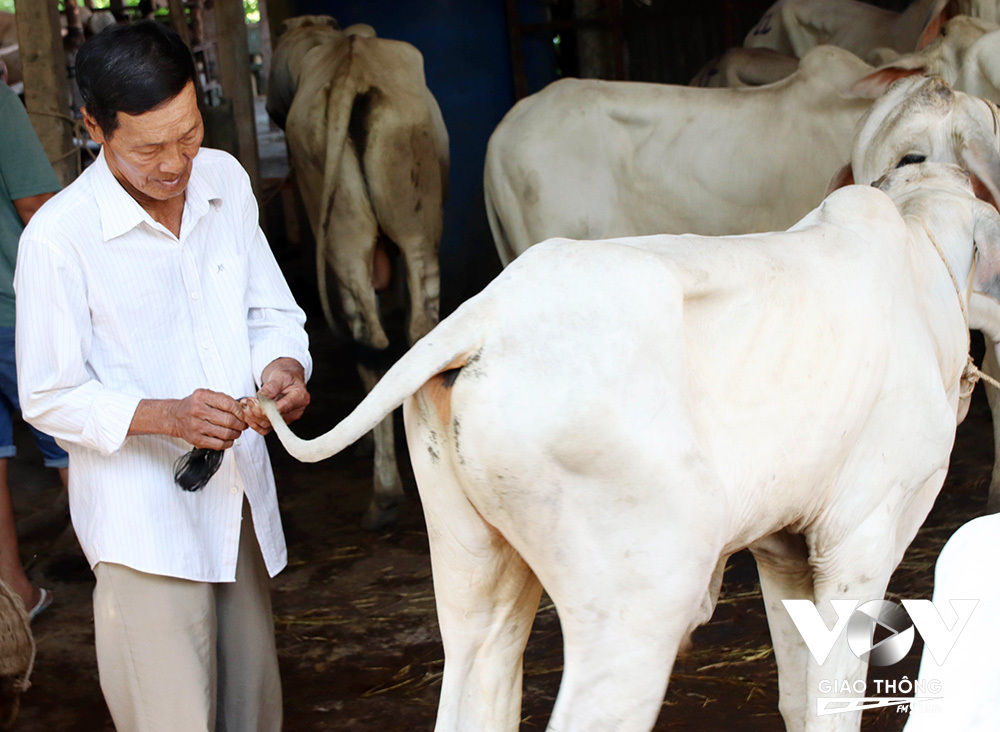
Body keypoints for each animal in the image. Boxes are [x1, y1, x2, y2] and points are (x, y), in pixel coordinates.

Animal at [270, 14, 450, 528]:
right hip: (411, 223)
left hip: (351, 234)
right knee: (410, 329)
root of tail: (351, 67)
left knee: (373, 338)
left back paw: (385, 489)